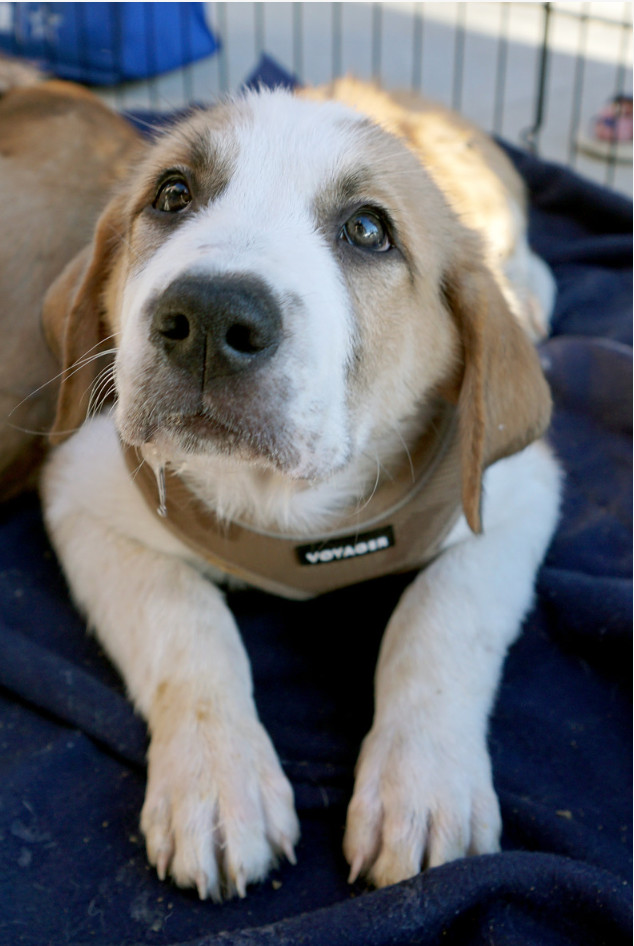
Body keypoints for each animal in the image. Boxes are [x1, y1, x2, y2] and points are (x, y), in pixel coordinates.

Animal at [38, 83, 556, 900]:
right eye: (173, 193)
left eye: (369, 230)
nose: (209, 317)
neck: (281, 502)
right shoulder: (81, 491)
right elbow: (186, 623)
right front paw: (217, 782)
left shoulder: (519, 495)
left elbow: (439, 623)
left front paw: (423, 788)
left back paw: (530, 299)